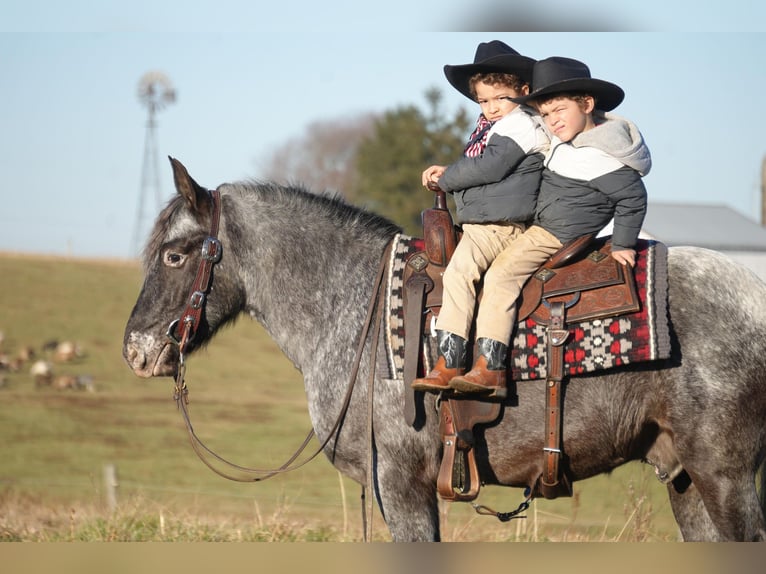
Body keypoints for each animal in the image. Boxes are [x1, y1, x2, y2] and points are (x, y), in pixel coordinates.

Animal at [123, 158, 766, 542]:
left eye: (174, 255)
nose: (136, 351)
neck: (353, 303)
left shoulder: (402, 483)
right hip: (684, 479)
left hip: (725, 476)